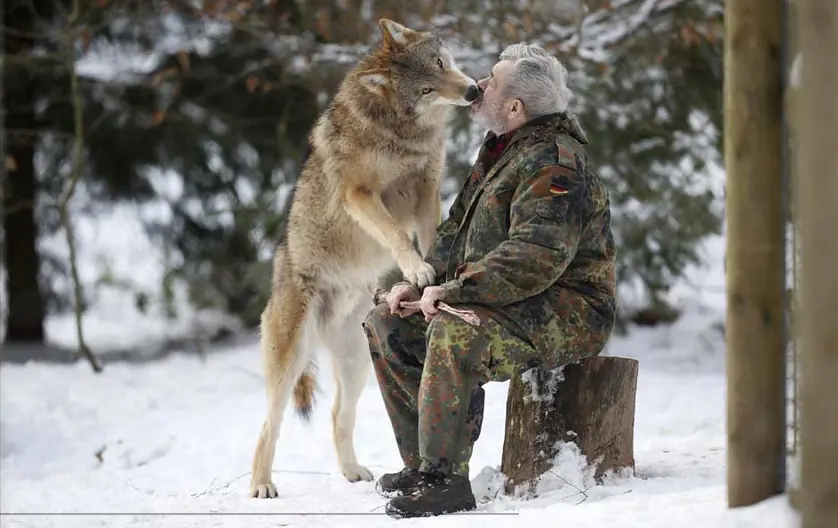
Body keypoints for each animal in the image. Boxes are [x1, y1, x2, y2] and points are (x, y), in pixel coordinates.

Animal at [249, 19, 480, 498]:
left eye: (441, 63)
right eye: (426, 89)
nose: (471, 91)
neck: (402, 132)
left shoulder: (427, 188)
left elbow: (430, 235)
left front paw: (431, 275)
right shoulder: (360, 194)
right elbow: (395, 233)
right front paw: (416, 268)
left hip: (357, 364)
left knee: (338, 415)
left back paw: (353, 472)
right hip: (289, 362)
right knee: (268, 426)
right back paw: (261, 486)